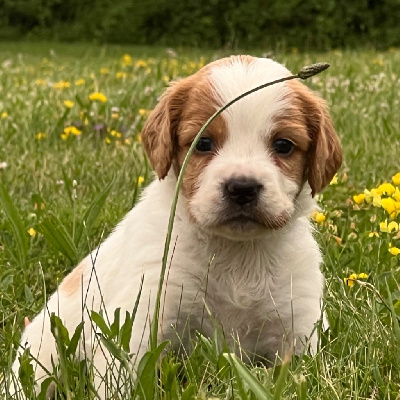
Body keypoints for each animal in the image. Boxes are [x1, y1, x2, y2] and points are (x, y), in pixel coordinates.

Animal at [9, 55, 340, 396]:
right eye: (203, 142)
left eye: (284, 145)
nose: (242, 187)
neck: (236, 254)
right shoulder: (145, 312)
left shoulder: (300, 326)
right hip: (42, 353)